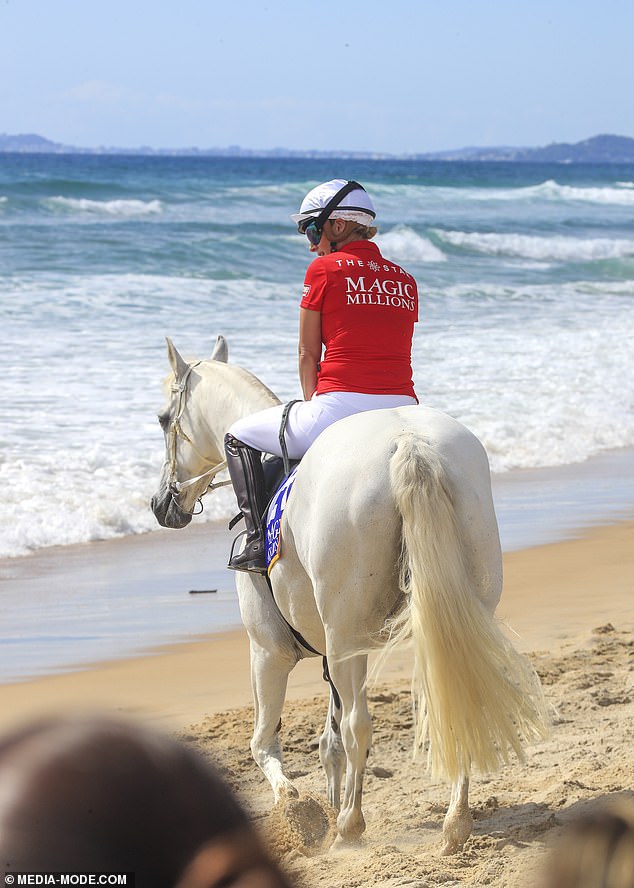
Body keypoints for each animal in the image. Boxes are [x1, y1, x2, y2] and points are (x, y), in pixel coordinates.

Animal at [151, 334, 544, 852]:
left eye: (163, 420)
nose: (161, 505)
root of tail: (408, 441)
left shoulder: (269, 651)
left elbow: (265, 742)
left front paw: (298, 811)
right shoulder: (328, 654)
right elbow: (328, 742)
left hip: (344, 639)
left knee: (360, 724)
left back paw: (349, 827)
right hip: (451, 616)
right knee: (459, 694)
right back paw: (454, 823)